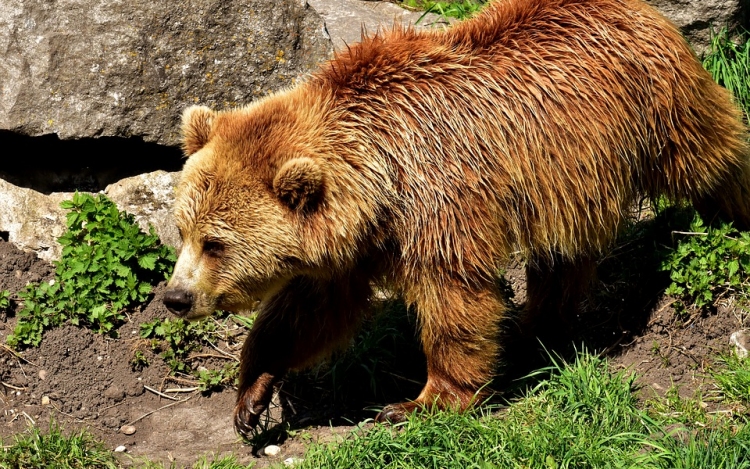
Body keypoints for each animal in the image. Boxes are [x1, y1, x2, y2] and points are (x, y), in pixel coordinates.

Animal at [164, 0, 750, 436]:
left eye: (216, 243)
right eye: (183, 231)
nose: (175, 298)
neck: (380, 175)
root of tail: (642, 9)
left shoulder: (439, 202)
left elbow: (454, 298)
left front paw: (418, 402)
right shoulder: (356, 244)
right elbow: (311, 310)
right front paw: (252, 394)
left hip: (658, 103)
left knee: (712, 157)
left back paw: (735, 211)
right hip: (567, 179)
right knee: (563, 252)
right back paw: (538, 327)